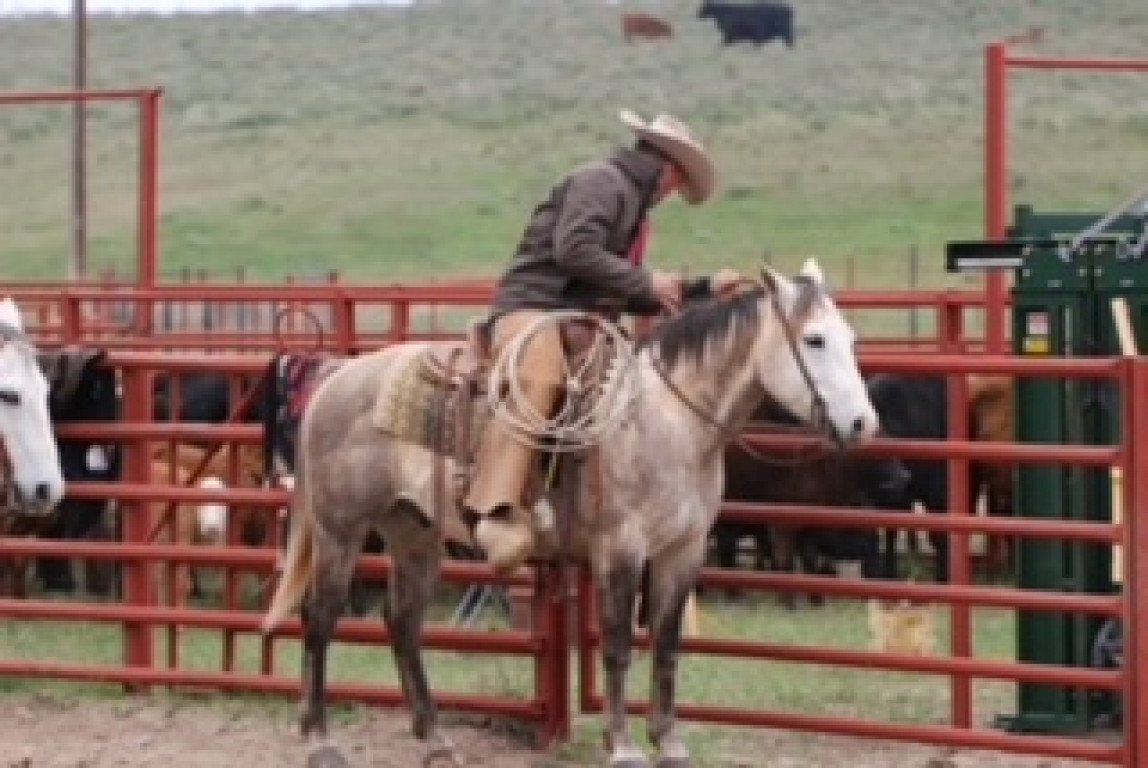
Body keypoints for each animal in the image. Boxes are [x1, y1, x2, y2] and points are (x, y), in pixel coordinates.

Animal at [262, 260, 878, 768]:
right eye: (815, 339)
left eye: (850, 338)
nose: (862, 424)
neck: (669, 420)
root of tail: (334, 379)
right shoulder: (620, 548)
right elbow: (618, 644)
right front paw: (624, 746)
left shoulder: (683, 551)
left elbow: (668, 644)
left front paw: (669, 742)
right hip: (340, 530)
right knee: (319, 618)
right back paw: (320, 740)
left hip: (413, 532)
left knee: (403, 623)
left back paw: (436, 741)